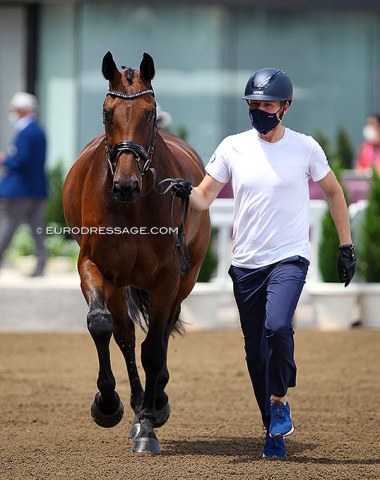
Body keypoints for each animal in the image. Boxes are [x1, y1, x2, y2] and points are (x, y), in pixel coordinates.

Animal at [62, 52, 211, 454]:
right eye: (106, 111)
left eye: (149, 111)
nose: (126, 185)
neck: (132, 205)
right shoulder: (94, 268)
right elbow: (102, 326)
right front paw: (107, 404)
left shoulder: (167, 279)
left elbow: (154, 348)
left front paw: (148, 425)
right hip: (119, 286)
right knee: (125, 335)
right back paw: (135, 404)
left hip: (186, 280)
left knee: (160, 333)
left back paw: (155, 404)